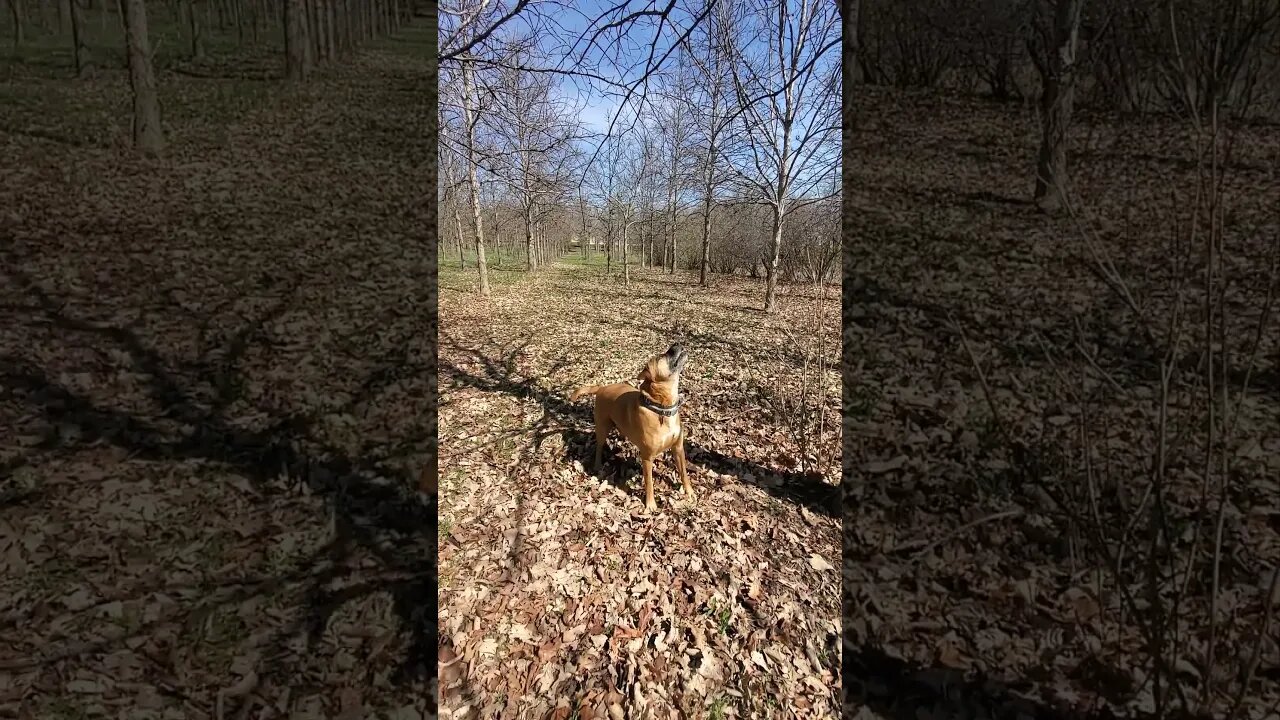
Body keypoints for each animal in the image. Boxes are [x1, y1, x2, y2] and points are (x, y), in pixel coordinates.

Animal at [570, 340, 691, 509]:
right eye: (662, 356)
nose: (677, 343)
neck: (660, 408)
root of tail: (602, 387)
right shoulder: (647, 458)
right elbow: (649, 483)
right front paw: (650, 504)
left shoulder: (678, 448)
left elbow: (684, 473)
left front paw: (689, 492)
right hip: (602, 428)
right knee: (599, 446)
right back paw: (598, 464)